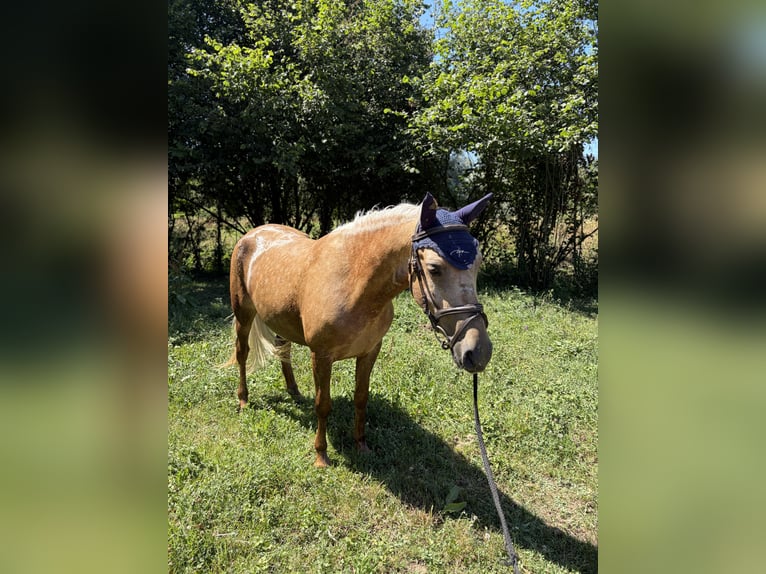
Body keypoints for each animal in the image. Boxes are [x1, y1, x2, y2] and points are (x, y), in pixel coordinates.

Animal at [227, 192, 493, 467]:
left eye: (478, 264)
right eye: (434, 268)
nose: (478, 351)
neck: (352, 283)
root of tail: (251, 235)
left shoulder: (369, 352)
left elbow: (361, 398)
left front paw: (361, 445)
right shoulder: (321, 356)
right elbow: (323, 404)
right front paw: (321, 455)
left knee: (283, 350)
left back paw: (294, 391)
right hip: (244, 315)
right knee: (242, 353)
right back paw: (243, 399)